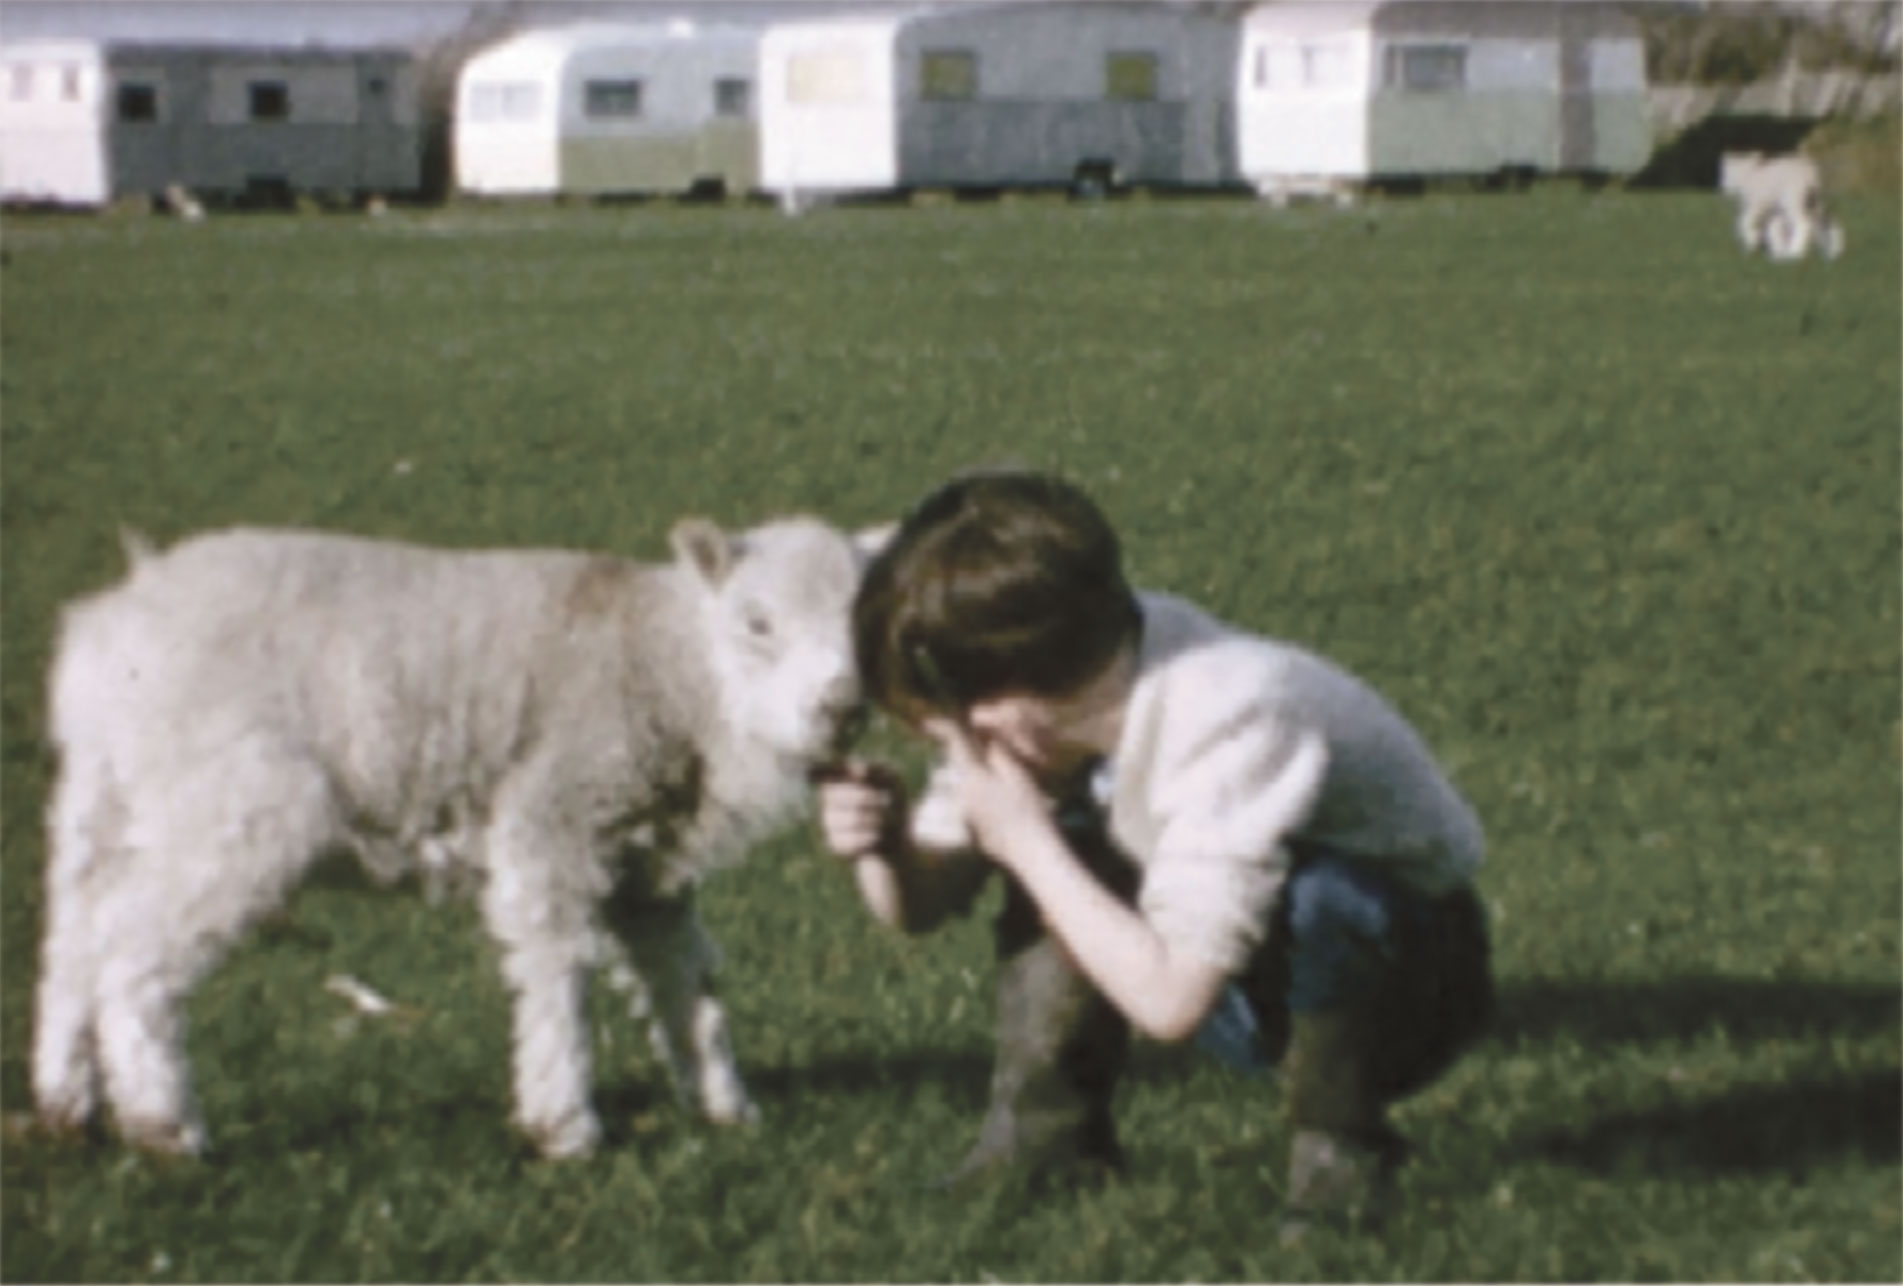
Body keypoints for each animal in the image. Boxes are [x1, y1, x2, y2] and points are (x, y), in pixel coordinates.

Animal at [31, 517, 882, 1156]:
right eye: (757, 623)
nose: (841, 709)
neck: (674, 667)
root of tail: (112, 626)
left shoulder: (647, 862)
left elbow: (687, 981)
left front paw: (724, 1104)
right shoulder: (558, 813)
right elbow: (556, 972)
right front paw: (562, 1123)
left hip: (104, 803)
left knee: (76, 941)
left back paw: (66, 1105)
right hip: (231, 806)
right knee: (132, 958)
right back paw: (163, 1124)